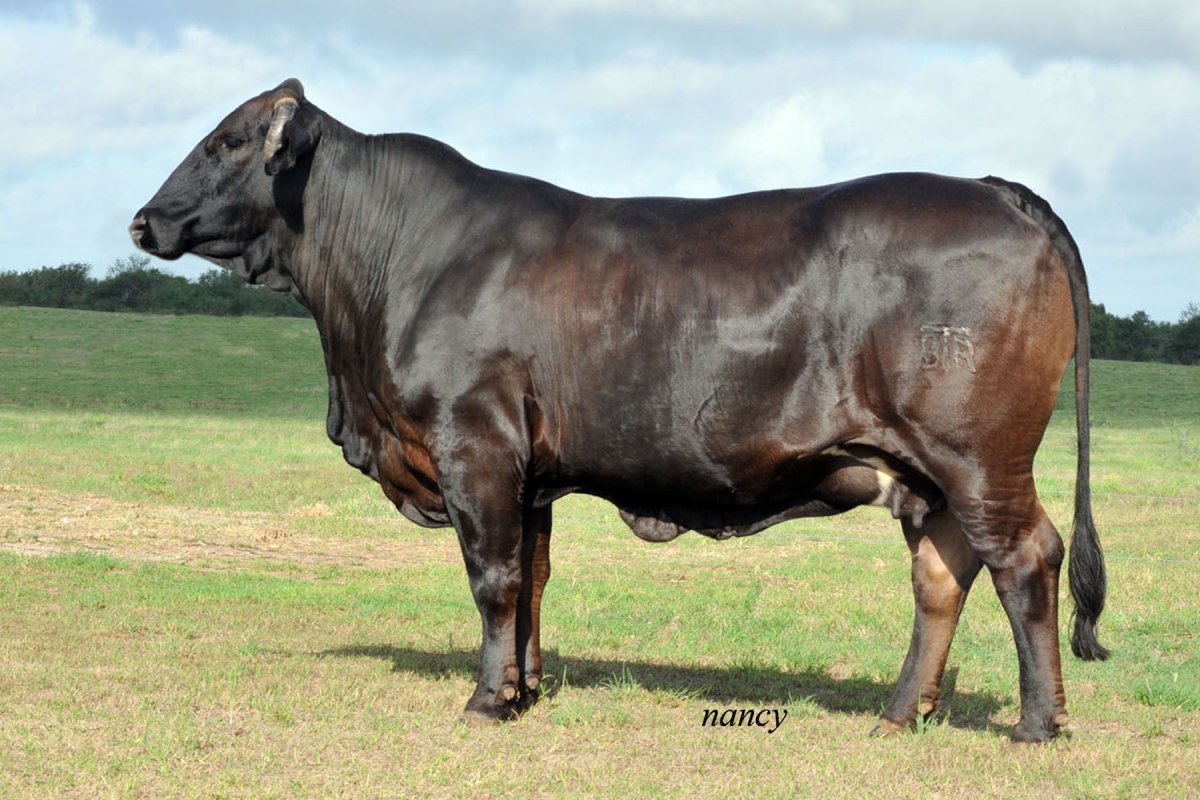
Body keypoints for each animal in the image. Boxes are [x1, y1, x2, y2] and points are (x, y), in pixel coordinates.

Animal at [130, 79, 1108, 742]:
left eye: (226, 141)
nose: (141, 220)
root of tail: (990, 187)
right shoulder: (529, 474)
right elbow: (530, 580)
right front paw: (522, 691)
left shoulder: (475, 444)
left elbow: (492, 578)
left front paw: (484, 700)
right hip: (926, 471)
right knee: (943, 573)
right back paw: (902, 714)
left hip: (977, 455)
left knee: (1025, 559)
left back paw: (1038, 723)